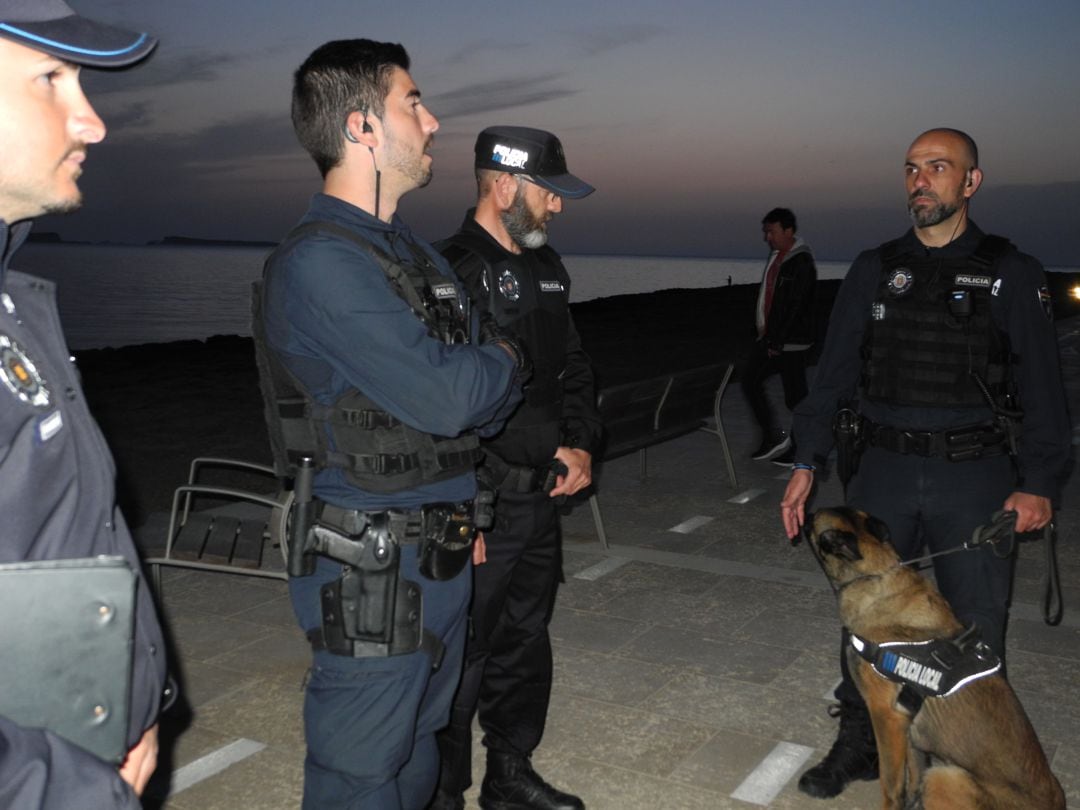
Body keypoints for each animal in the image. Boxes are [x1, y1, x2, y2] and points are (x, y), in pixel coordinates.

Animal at [803, 509, 1062, 807]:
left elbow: (891, 784)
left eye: (812, 520)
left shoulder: (886, 716)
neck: (875, 575)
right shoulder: (907, 726)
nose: (803, 512)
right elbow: (915, 773)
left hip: (945, 777)